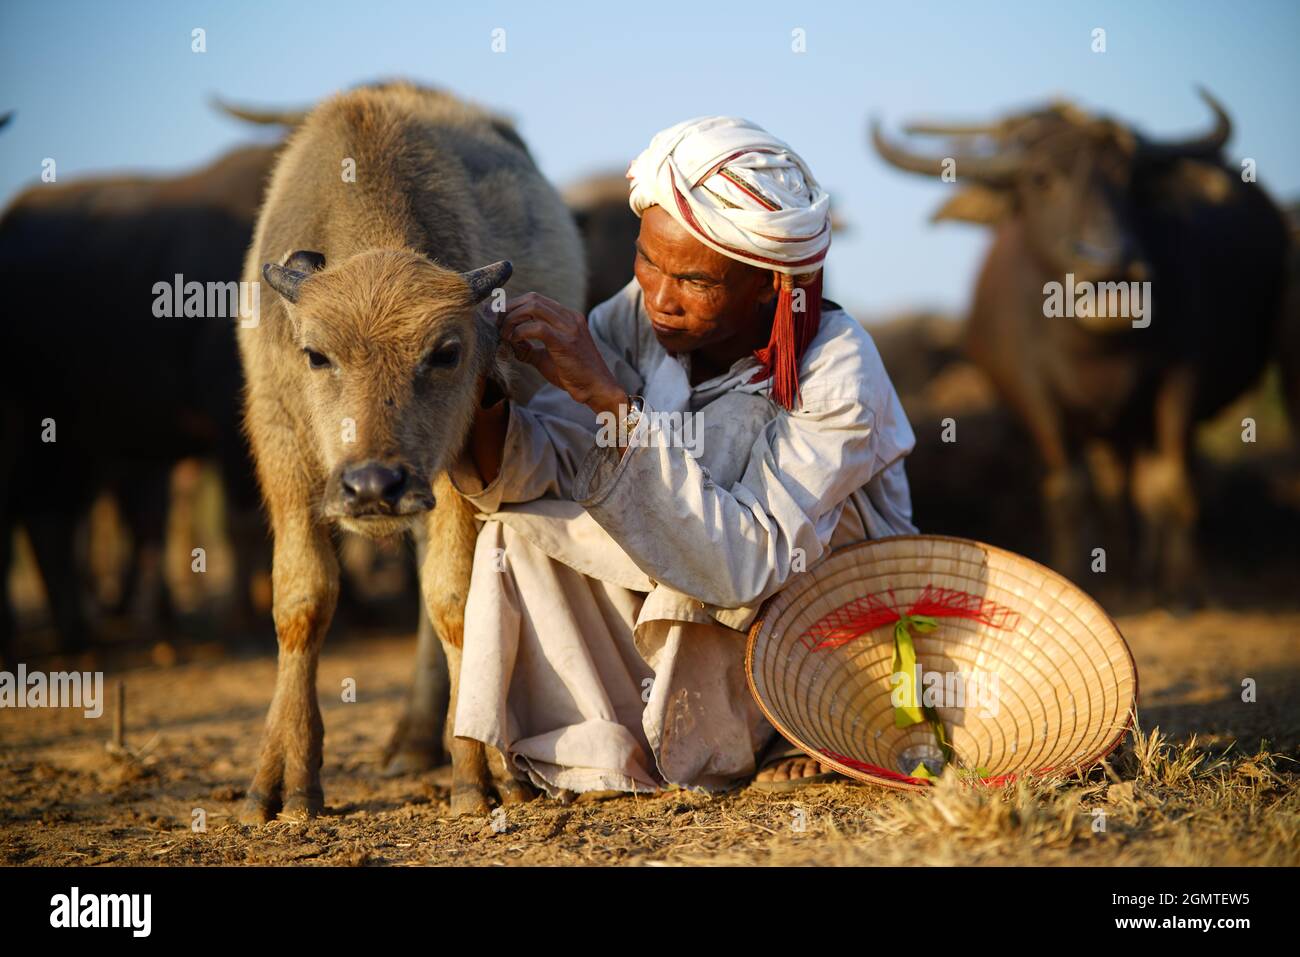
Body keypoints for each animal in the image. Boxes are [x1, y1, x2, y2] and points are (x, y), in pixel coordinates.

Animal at [241, 80, 587, 821]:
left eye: (446, 352)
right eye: (316, 354)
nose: (374, 485)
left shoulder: (464, 461)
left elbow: (455, 597)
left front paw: (482, 774)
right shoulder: (283, 448)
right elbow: (301, 599)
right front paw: (281, 784)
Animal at [873, 89, 1289, 598]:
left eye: (1131, 178)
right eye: (1040, 179)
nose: (1108, 262)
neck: (1096, 348)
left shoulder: (1183, 379)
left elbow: (1174, 483)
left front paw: (1183, 583)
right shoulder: (1033, 393)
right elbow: (1069, 489)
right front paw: (1073, 570)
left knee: (1147, 480)